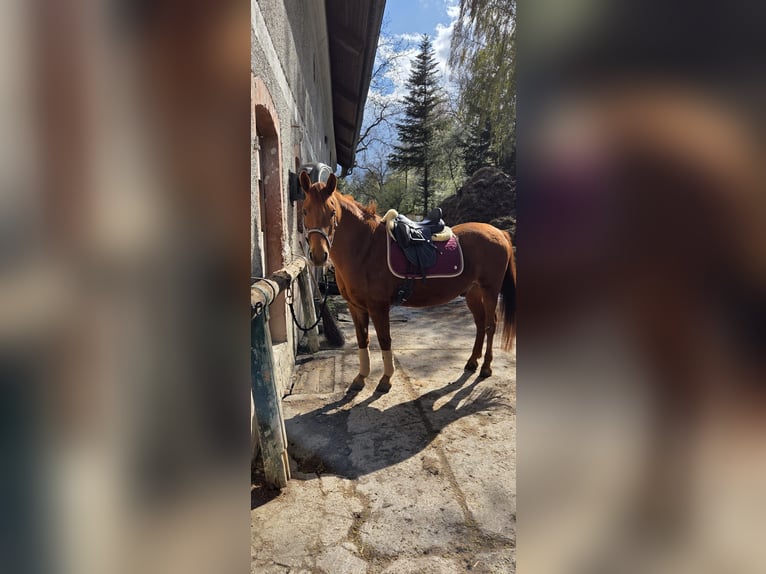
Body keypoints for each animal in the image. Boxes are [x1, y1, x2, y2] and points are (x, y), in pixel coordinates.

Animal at [299, 170, 516, 393]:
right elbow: (363, 340)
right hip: (472, 292)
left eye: (332, 212)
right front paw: (361, 377)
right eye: (305, 211)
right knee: (481, 323)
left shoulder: (378, 306)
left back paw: (486, 367)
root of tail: (500, 233)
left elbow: (384, 340)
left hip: (490, 290)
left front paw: (386, 379)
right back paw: (472, 362)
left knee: (491, 324)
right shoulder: (355, 307)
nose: (319, 256)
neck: (365, 248)